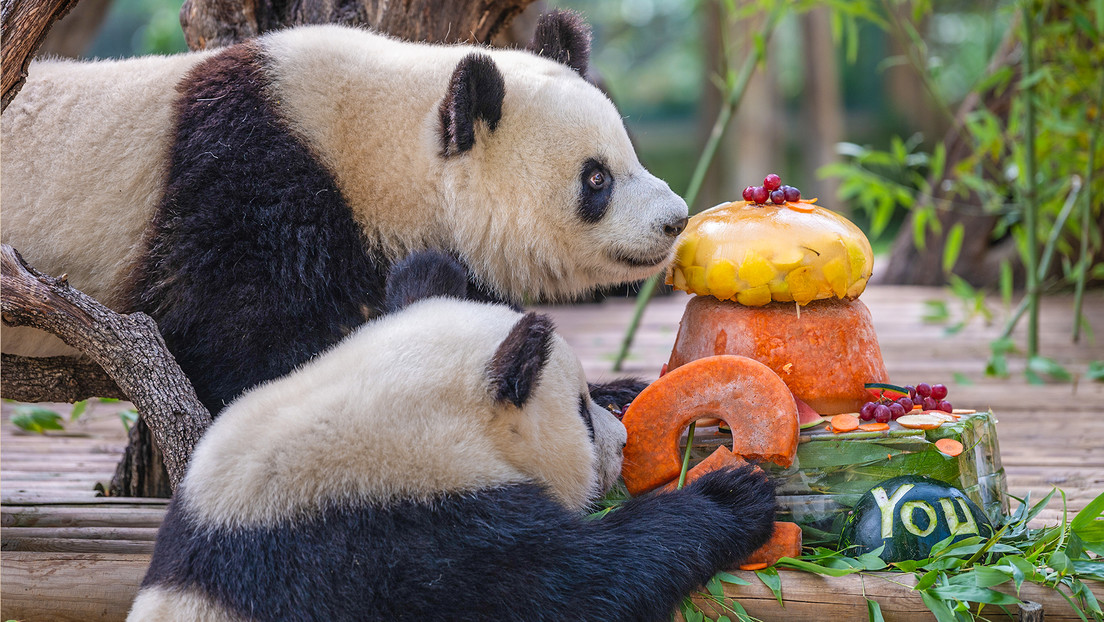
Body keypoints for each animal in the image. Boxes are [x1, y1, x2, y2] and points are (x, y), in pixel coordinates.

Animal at [0, 11, 687, 414]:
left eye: (629, 152)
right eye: (596, 178)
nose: (676, 219)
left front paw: (612, 391)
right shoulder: (246, 187)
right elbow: (249, 347)